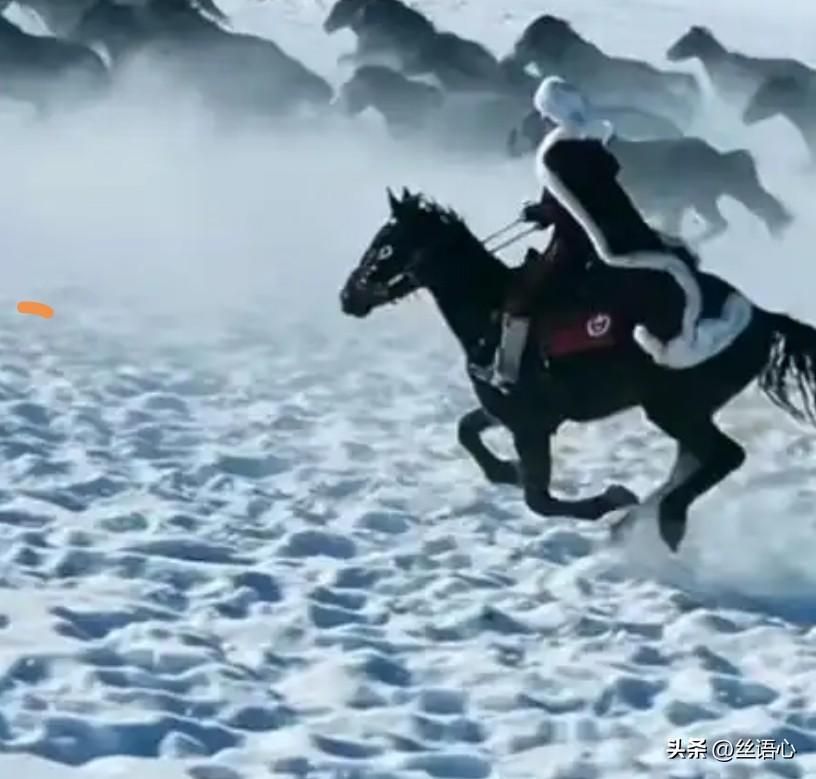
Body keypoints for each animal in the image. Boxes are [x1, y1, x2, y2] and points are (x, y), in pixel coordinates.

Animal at [339, 188, 816, 552]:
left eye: (385, 244)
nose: (348, 297)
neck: (490, 310)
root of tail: (762, 317)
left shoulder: (530, 425)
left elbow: (539, 500)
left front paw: (610, 497)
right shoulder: (508, 411)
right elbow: (467, 432)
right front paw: (506, 470)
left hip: (672, 408)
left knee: (724, 456)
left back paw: (662, 520)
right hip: (688, 410)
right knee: (695, 460)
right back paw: (639, 522)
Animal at [508, 113, 791, 244]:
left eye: (525, 125)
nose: (510, 146)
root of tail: (717, 157)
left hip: (701, 199)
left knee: (722, 222)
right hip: (698, 200)